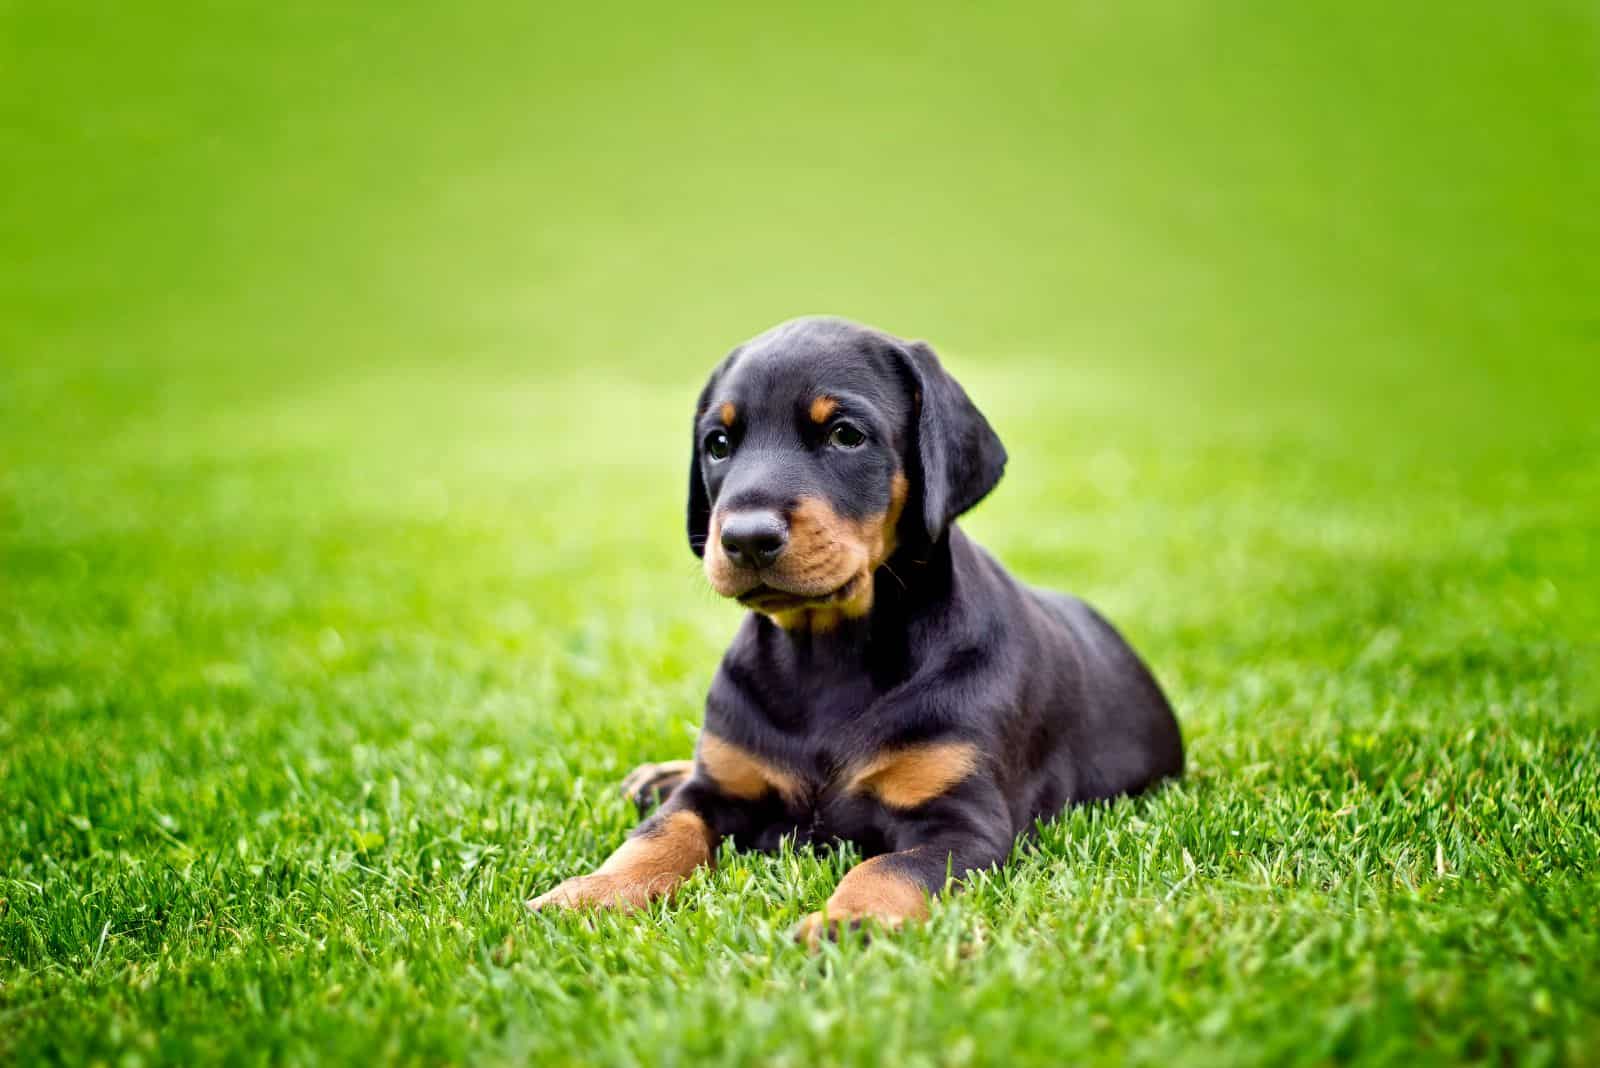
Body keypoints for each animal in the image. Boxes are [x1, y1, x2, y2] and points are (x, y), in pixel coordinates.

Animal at [531, 314, 1184, 940]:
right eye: (717, 444)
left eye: (846, 435)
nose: (745, 537)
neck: (826, 655)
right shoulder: (714, 788)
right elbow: (659, 834)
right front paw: (592, 893)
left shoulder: (962, 823)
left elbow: (887, 868)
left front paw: (851, 923)